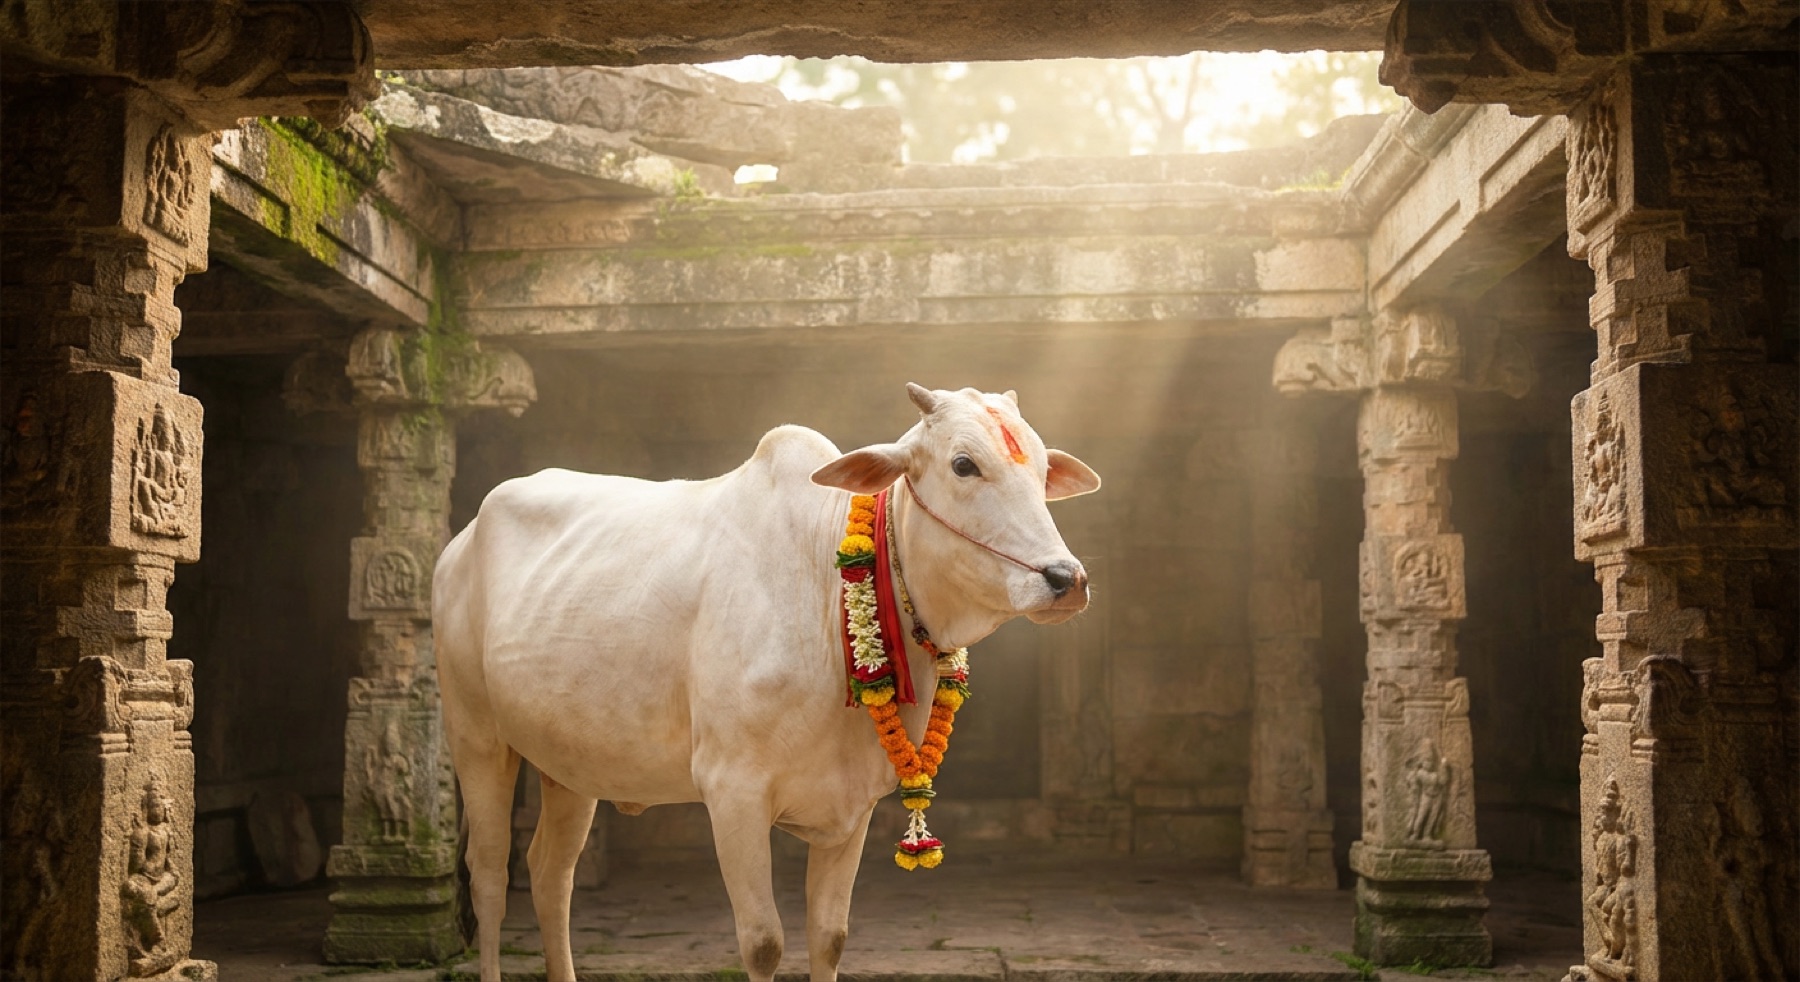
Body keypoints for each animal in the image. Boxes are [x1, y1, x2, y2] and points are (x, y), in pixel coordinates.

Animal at [433, 383, 1101, 982]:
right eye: (964, 464)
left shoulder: (853, 806)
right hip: (476, 735)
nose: (1065, 578)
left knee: (551, 873)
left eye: (1043, 469)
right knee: (490, 874)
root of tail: (460, 542)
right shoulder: (733, 790)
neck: (829, 594)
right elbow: (763, 944)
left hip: (570, 762)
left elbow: (830, 938)